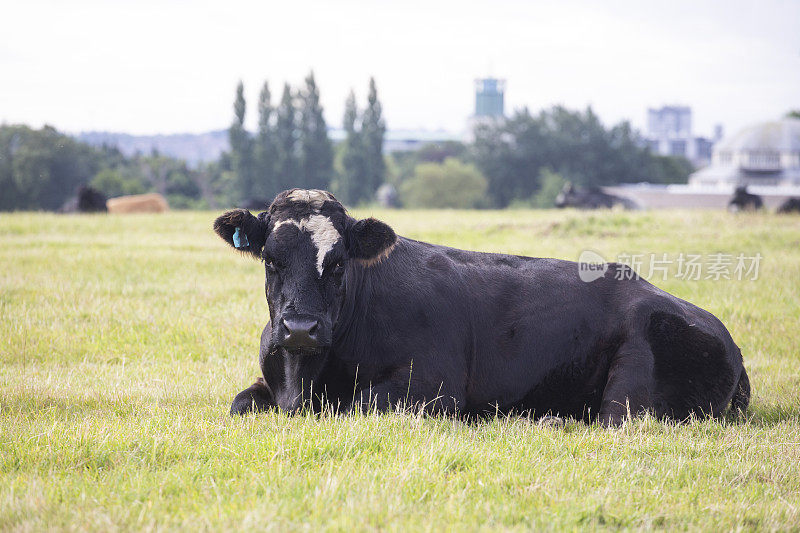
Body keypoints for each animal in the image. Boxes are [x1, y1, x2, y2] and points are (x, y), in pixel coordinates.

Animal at [214, 187, 752, 424]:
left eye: (339, 262)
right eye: (271, 259)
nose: (300, 328)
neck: (304, 378)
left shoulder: (431, 388)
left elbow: (357, 405)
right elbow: (242, 403)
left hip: (634, 376)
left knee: (615, 419)